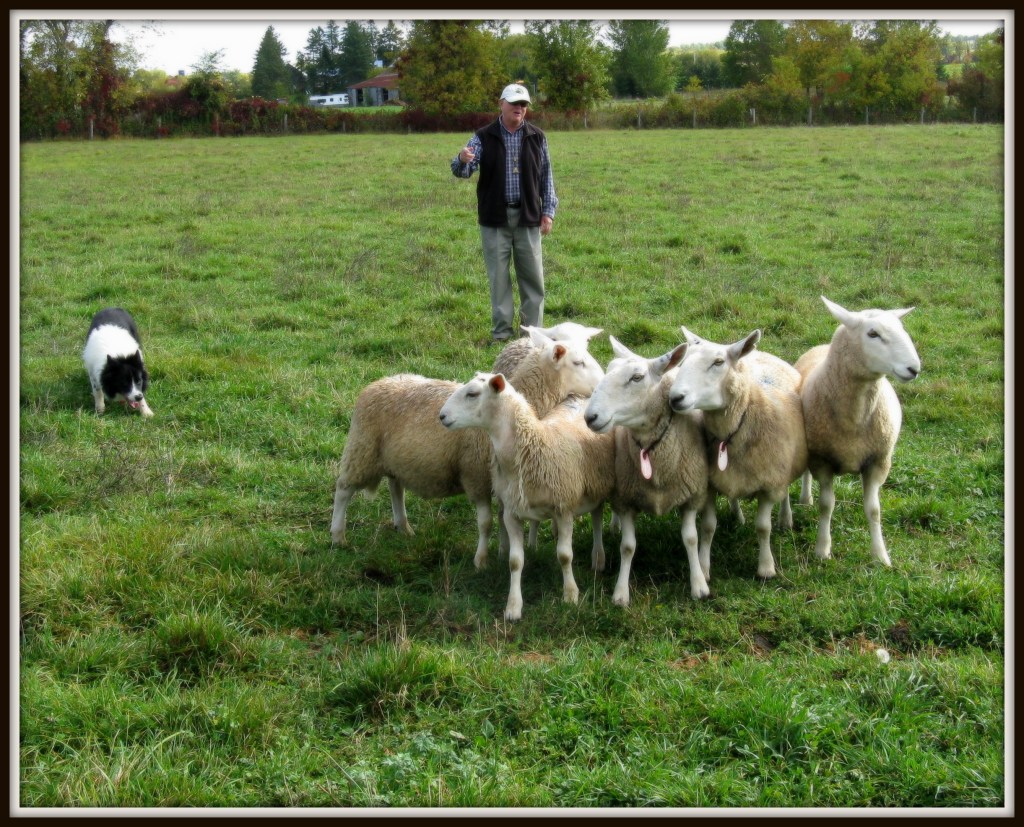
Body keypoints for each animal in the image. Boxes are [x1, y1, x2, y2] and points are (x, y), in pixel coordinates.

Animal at [329, 329, 603, 570]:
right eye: (578, 362)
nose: (602, 384)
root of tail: (376, 384)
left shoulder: (501, 482)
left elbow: (503, 519)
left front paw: (503, 551)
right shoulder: (476, 476)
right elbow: (486, 523)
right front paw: (481, 560)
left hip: (393, 458)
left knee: (396, 487)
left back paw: (403, 526)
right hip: (362, 450)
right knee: (343, 489)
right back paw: (338, 535)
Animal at [439, 372, 616, 621]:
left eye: (472, 394)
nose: (442, 416)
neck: (533, 445)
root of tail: (581, 396)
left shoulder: (564, 508)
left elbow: (565, 555)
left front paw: (570, 595)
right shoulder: (511, 513)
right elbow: (515, 562)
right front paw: (513, 607)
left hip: (596, 485)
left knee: (597, 518)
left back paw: (598, 558)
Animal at [583, 337, 711, 605]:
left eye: (637, 377)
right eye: (608, 371)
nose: (590, 417)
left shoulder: (692, 496)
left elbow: (691, 539)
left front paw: (698, 584)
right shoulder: (625, 499)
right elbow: (628, 546)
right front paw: (621, 592)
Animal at [669, 328, 807, 580]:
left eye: (718, 362)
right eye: (684, 360)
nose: (675, 398)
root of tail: (761, 353)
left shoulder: (769, 482)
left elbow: (763, 527)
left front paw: (766, 568)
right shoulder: (710, 484)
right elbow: (708, 527)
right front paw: (703, 567)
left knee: (785, 493)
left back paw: (785, 519)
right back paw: (737, 515)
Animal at [795, 296, 921, 567]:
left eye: (902, 329)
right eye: (873, 333)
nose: (914, 368)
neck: (855, 417)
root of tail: (820, 345)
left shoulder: (878, 462)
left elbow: (873, 510)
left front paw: (880, 556)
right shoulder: (822, 460)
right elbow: (826, 505)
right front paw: (822, 549)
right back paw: (805, 499)